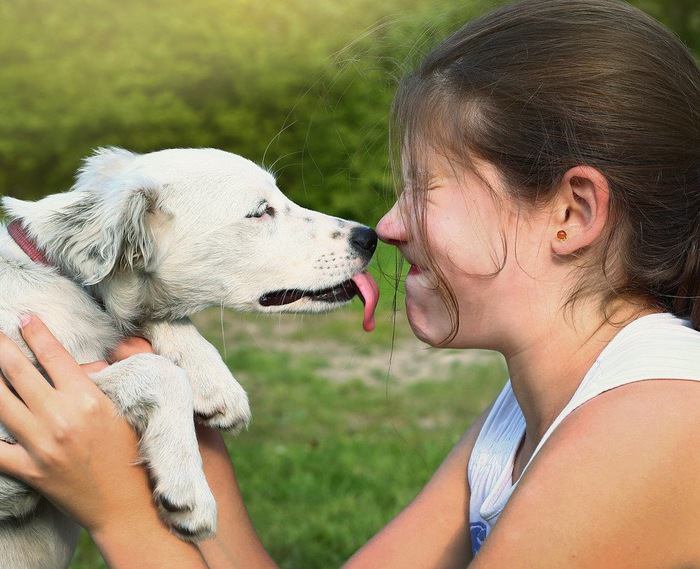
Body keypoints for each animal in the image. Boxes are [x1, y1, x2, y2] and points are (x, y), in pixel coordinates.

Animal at [0, 148, 378, 568]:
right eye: (260, 211)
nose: (370, 237)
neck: (63, 277)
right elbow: (160, 371)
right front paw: (189, 489)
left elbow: (160, 323)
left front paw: (214, 383)